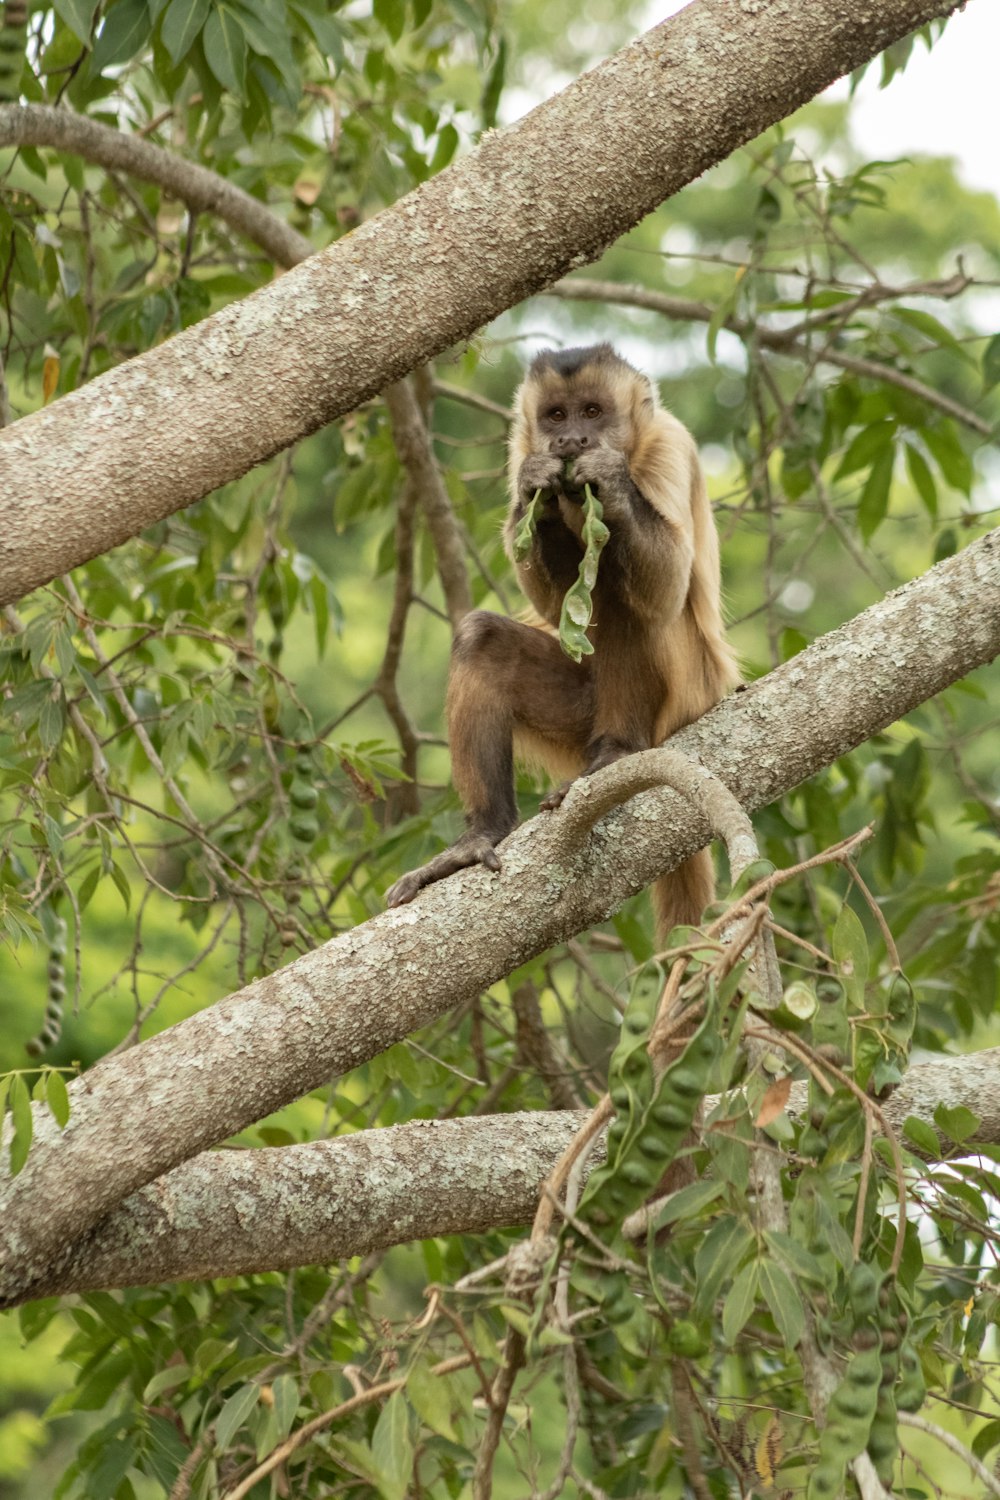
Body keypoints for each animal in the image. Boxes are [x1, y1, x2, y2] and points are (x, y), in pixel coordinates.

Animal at [386, 345, 740, 930]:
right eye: (556, 416)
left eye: (592, 412)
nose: (572, 441)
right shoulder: (520, 450)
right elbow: (554, 605)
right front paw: (543, 491)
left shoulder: (670, 442)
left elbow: (665, 589)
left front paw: (609, 482)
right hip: (577, 718)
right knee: (485, 639)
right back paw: (484, 832)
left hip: (690, 694)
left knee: (623, 600)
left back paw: (619, 751)